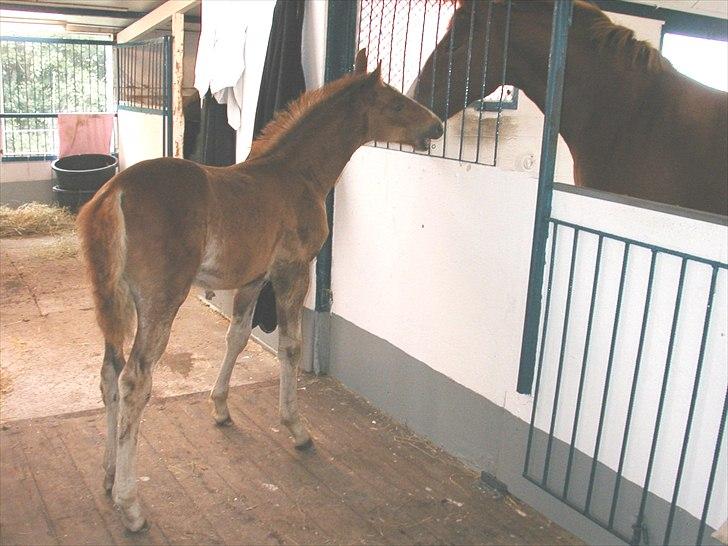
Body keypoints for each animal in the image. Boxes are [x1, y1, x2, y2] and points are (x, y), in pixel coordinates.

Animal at [79, 49, 444, 528]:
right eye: (397, 102)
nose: (436, 126)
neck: (297, 173)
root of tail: (115, 191)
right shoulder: (293, 272)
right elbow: (290, 346)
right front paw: (297, 428)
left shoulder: (253, 280)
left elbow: (236, 336)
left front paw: (220, 407)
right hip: (159, 303)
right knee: (133, 380)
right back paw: (130, 504)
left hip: (114, 303)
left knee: (108, 373)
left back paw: (106, 475)